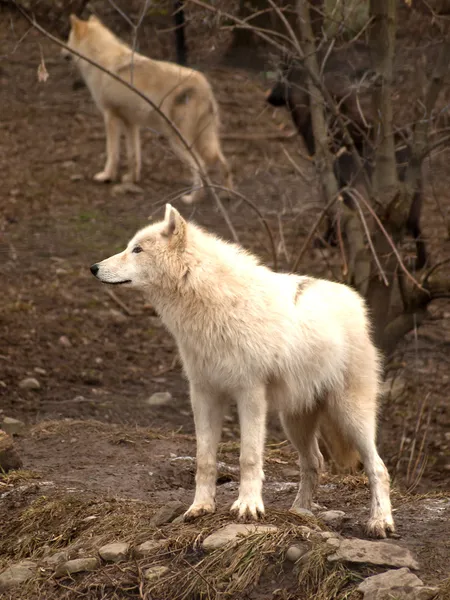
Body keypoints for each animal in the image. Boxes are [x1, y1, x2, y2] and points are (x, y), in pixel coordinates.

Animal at [62, 12, 232, 202]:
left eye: (68, 39)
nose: (61, 52)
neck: (101, 59)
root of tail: (203, 84)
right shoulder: (131, 123)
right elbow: (133, 156)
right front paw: (132, 179)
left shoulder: (110, 117)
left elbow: (112, 153)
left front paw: (106, 176)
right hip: (203, 141)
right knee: (223, 163)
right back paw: (227, 194)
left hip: (177, 141)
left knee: (201, 166)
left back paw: (192, 198)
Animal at [90, 206, 394, 540]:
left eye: (137, 250)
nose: (93, 267)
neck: (209, 304)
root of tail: (354, 300)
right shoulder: (203, 395)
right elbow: (204, 459)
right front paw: (200, 507)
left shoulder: (250, 394)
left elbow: (248, 457)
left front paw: (248, 506)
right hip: (294, 421)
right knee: (314, 462)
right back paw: (299, 511)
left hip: (350, 414)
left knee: (378, 467)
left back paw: (380, 521)